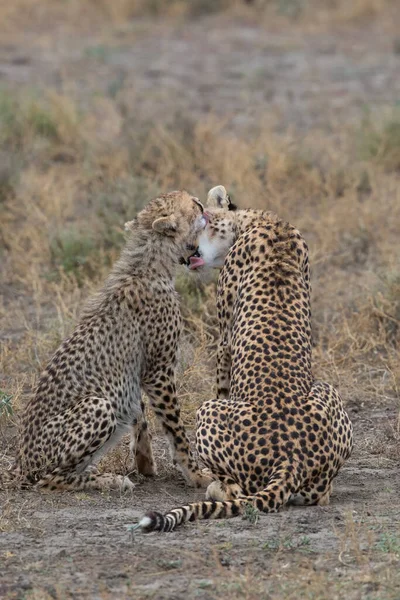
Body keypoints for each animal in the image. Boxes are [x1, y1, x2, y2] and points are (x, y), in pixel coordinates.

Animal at [12, 190, 212, 490]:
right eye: (196, 205)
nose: (206, 208)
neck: (148, 264)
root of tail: (21, 464)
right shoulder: (159, 370)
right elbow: (176, 430)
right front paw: (196, 474)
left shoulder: (137, 371)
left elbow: (139, 414)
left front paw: (145, 463)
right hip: (98, 405)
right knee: (50, 480)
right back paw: (108, 480)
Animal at [138, 185, 354, 532]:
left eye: (202, 219)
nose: (186, 255)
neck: (264, 222)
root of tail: (291, 459)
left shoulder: (225, 341)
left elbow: (222, 383)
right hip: (327, 392)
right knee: (321, 494)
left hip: (208, 412)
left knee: (237, 489)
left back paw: (215, 485)